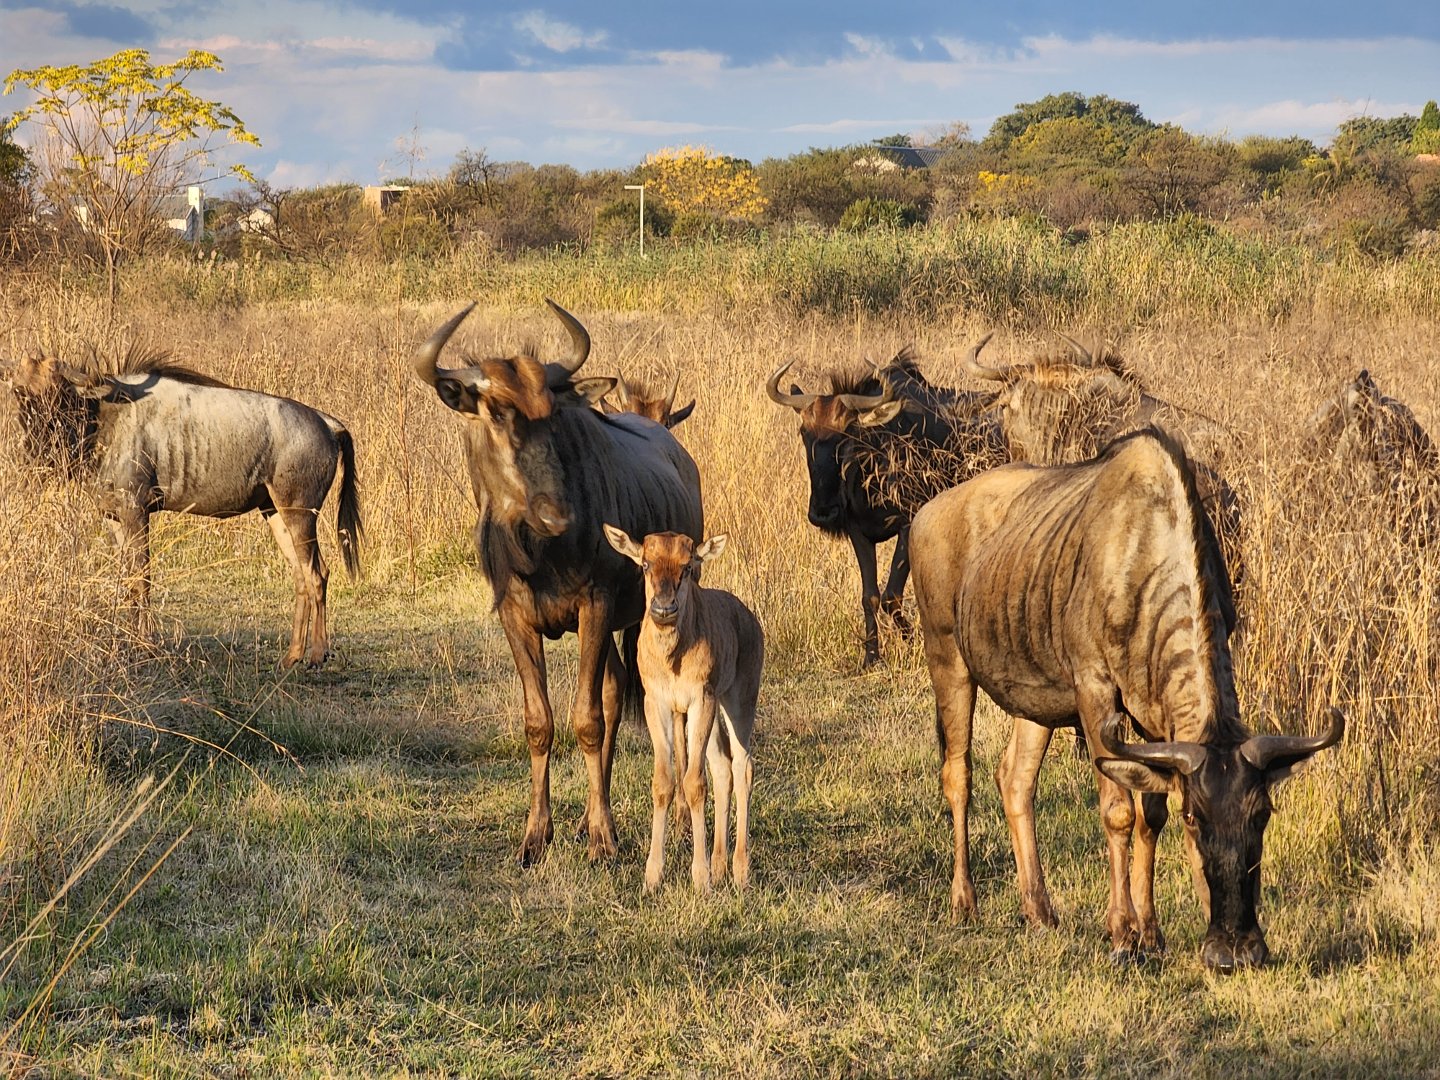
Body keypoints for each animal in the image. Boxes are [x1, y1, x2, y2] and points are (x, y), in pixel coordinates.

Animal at [607, 527, 766, 898]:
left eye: (688, 566)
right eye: (646, 563)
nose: (664, 608)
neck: (672, 655)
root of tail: (749, 618)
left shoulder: (700, 700)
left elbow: (694, 783)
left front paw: (700, 878)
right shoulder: (658, 704)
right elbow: (664, 781)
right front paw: (653, 876)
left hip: (738, 701)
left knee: (743, 766)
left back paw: (739, 871)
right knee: (722, 766)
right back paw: (720, 867)